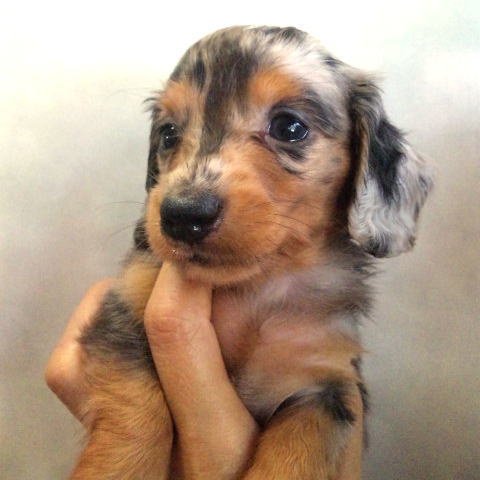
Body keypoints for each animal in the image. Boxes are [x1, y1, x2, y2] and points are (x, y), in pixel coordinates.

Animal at [72, 26, 433, 479]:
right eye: (169, 133)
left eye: (289, 127)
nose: (182, 215)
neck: (254, 291)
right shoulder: (124, 309)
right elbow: (133, 410)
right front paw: (117, 466)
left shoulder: (326, 382)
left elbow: (298, 449)